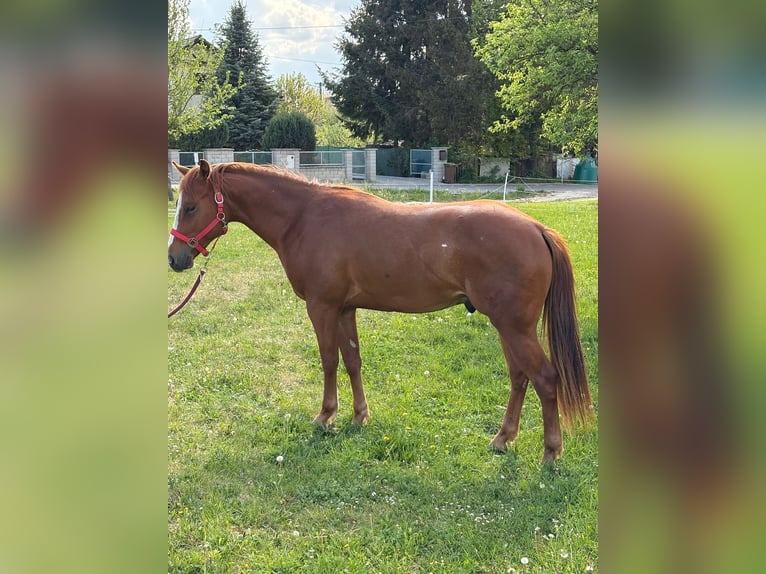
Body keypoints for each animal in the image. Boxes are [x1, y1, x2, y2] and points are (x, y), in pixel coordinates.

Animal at [168, 159, 593, 463]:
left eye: (190, 206)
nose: (175, 258)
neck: (304, 217)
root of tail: (537, 228)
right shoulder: (344, 309)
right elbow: (352, 360)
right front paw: (359, 416)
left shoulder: (322, 307)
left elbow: (328, 361)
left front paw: (326, 416)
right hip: (508, 327)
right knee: (520, 378)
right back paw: (503, 439)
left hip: (514, 327)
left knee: (545, 379)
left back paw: (551, 452)